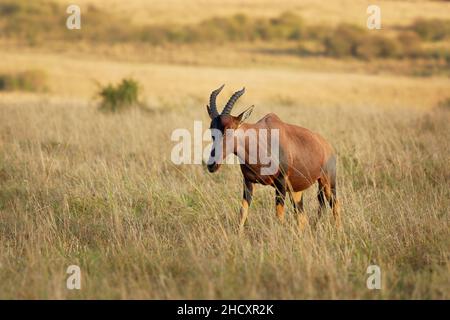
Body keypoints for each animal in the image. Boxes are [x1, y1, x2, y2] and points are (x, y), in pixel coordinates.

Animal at [206, 85, 340, 230]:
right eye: (211, 129)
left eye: (230, 128)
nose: (212, 165)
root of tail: (327, 146)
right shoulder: (248, 182)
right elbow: (242, 214)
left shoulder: (280, 183)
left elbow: (279, 215)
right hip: (296, 190)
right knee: (302, 218)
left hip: (328, 183)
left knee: (335, 206)